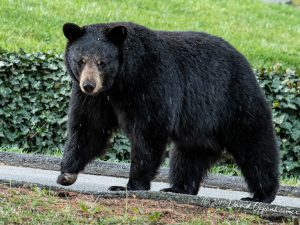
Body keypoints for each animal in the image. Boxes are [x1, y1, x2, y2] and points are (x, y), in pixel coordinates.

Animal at [57, 22, 280, 203]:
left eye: (102, 62)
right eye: (81, 60)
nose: (89, 85)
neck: (121, 81)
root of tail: (247, 63)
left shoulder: (152, 81)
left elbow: (149, 131)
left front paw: (129, 185)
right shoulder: (97, 99)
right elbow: (89, 127)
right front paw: (67, 173)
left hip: (234, 102)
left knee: (255, 147)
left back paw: (262, 195)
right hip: (199, 126)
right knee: (188, 155)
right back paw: (178, 188)